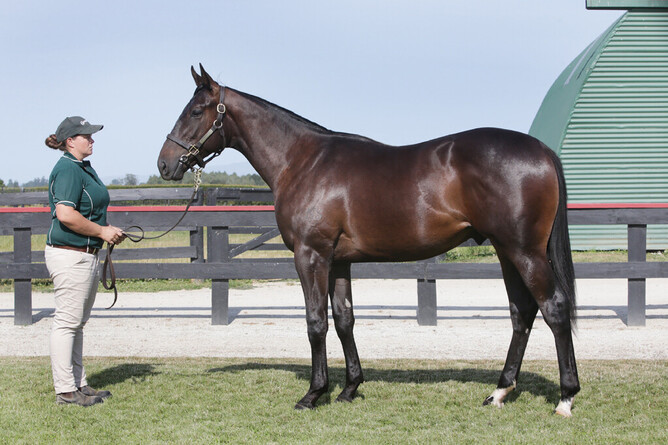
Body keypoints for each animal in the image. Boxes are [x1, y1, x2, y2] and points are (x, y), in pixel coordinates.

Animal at [158, 65, 580, 417]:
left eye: (196, 111)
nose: (164, 163)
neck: (303, 161)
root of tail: (542, 150)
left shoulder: (311, 255)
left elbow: (316, 321)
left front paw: (314, 394)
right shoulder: (339, 260)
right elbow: (345, 319)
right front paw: (349, 389)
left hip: (525, 253)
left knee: (554, 309)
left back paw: (565, 398)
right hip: (508, 252)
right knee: (522, 313)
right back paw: (500, 391)